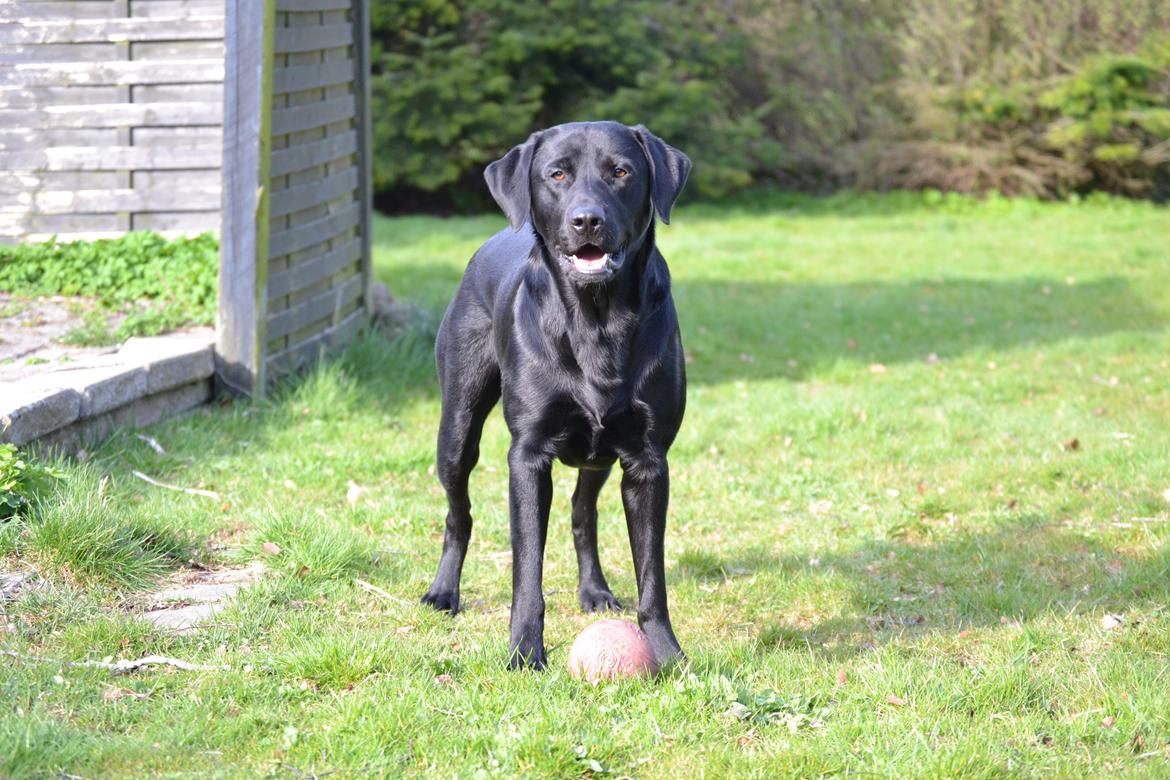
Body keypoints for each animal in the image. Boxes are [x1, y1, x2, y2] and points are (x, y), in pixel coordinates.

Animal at [423, 122, 687, 673]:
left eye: (621, 171)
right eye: (557, 174)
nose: (586, 220)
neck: (597, 319)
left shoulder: (648, 461)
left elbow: (652, 578)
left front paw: (668, 653)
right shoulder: (528, 456)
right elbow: (527, 572)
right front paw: (525, 651)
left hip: (601, 456)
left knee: (582, 512)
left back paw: (595, 589)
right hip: (457, 428)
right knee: (458, 513)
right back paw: (443, 592)